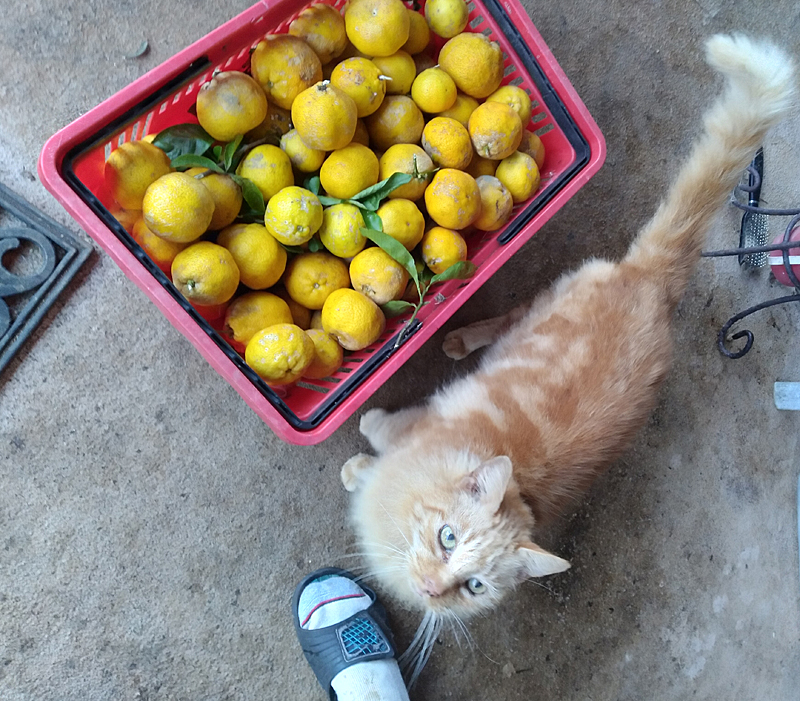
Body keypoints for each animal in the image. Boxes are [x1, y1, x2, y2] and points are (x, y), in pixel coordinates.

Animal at [338, 31, 792, 672]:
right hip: (541, 305)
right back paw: (457, 339)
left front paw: (357, 471)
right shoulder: (407, 429)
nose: (430, 589)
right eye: (447, 537)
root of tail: (654, 284)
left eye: (474, 586)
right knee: (501, 321)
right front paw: (360, 466)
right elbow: (377, 439)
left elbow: (374, 453)